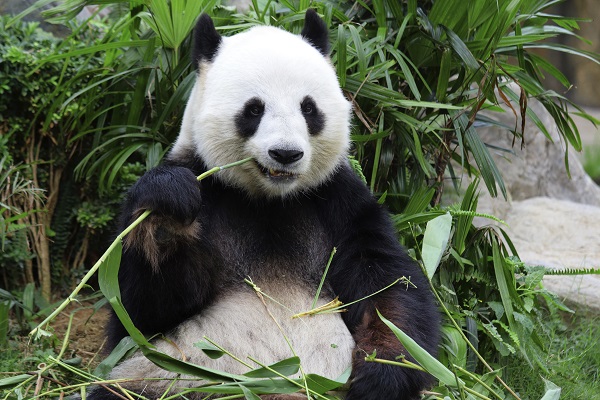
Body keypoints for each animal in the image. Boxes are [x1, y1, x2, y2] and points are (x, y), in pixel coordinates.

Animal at [95, 8, 440, 400]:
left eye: (309, 108)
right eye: (254, 109)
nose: (286, 154)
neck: (268, 200)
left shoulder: (339, 202)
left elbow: (387, 286)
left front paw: (380, 374)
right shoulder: (207, 185)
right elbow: (139, 311)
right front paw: (168, 211)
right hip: (168, 380)